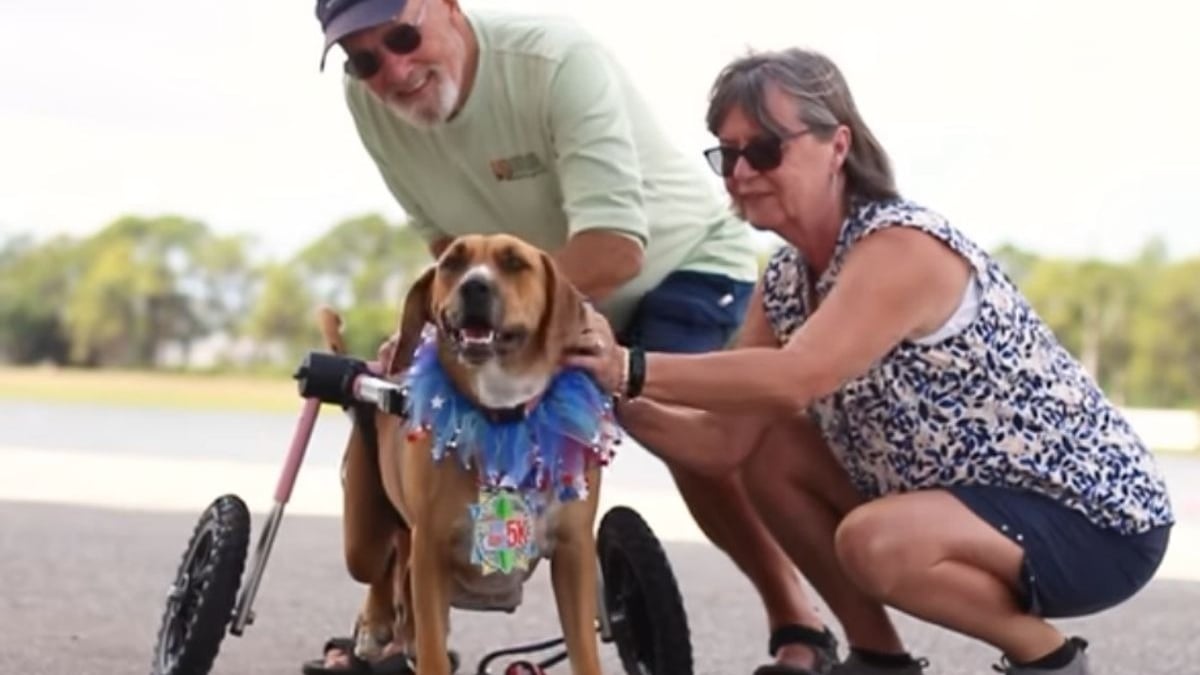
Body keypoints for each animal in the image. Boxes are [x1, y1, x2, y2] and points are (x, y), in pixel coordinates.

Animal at [316, 233, 619, 672]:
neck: (501, 413)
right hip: (363, 539)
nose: (474, 286)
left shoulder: (574, 550)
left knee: (401, 567)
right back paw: (375, 624)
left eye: (514, 263)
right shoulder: (432, 548)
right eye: (451, 264)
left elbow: (583, 649)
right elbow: (432, 648)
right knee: (384, 565)